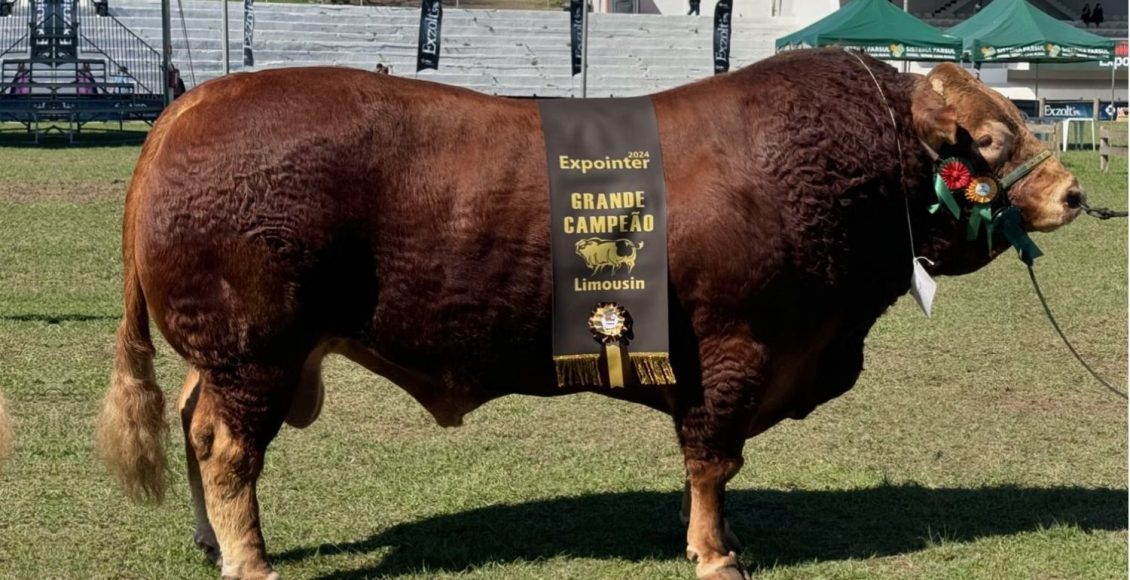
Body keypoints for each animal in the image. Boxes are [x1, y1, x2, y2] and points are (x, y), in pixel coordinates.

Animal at [99, 49, 1084, 578]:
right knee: (228, 451)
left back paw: (209, 541)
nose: (1075, 193)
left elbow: (705, 465)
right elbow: (713, 459)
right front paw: (715, 552)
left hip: (233, 357)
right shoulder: (736, 350)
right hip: (256, 349)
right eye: (990, 139)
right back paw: (248, 556)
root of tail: (193, 104)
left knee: (192, 422)